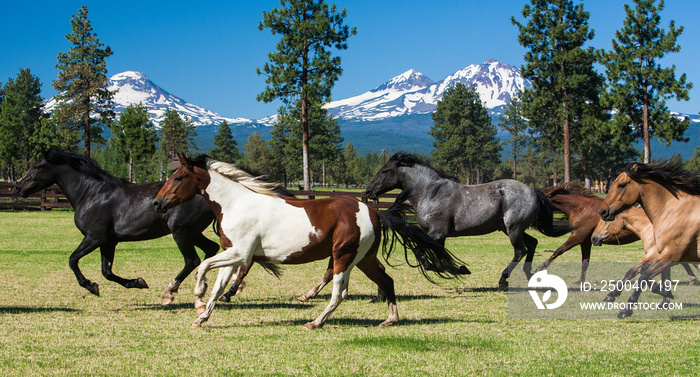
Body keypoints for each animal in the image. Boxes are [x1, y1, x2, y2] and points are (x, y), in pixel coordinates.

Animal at [15, 147, 219, 302]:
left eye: (36, 166)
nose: (18, 187)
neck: (91, 194)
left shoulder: (94, 238)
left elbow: (73, 260)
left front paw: (90, 286)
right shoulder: (108, 242)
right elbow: (107, 271)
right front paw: (137, 282)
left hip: (181, 232)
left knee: (192, 260)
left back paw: (170, 292)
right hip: (192, 233)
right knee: (211, 249)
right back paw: (201, 282)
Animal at [151, 154, 468, 328]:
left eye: (178, 177)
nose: (157, 203)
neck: (237, 204)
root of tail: (373, 211)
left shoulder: (240, 254)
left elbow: (203, 268)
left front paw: (196, 299)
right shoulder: (233, 255)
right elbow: (218, 286)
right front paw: (201, 318)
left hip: (343, 256)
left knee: (340, 291)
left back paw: (315, 321)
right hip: (363, 258)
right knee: (386, 281)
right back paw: (390, 319)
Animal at [364, 151, 568, 290]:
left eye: (385, 170)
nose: (367, 191)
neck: (430, 192)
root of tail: (532, 191)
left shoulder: (437, 234)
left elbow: (434, 258)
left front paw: (460, 269)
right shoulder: (431, 234)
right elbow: (422, 252)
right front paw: (451, 268)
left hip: (514, 229)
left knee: (520, 251)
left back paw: (503, 280)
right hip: (510, 229)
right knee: (533, 243)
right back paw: (530, 275)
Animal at [600, 159, 700, 318]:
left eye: (621, 185)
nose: (603, 212)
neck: (674, 211)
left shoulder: (672, 254)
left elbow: (644, 274)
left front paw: (626, 310)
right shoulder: (659, 253)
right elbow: (639, 270)